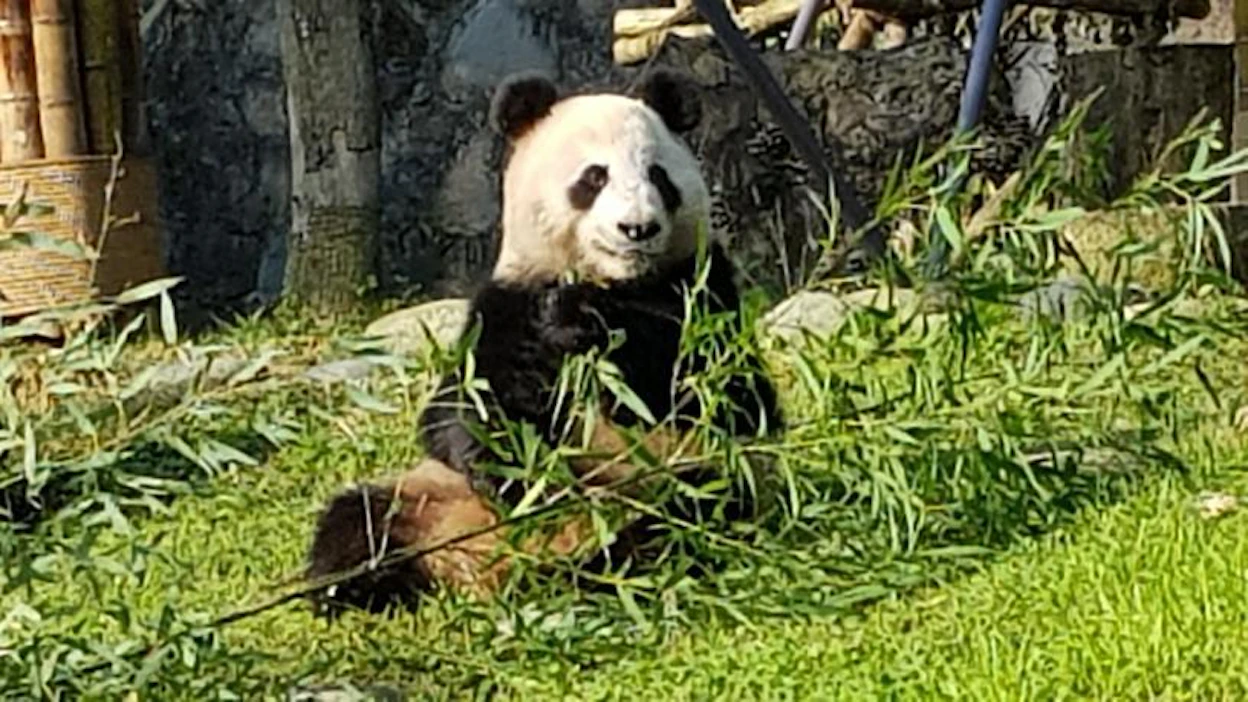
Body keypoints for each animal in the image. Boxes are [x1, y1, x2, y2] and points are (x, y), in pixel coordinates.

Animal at [305, 68, 783, 614]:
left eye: (658, 176)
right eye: (594, 178)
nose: (637, 228)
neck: (613, 280)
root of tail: (487, 567)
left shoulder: (703, 288)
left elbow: (730, 396)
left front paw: (591, 322)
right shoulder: (509, 301)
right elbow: (463, 408)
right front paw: (522, 469)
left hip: (677, 475)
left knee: (696, 506)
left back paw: (602, 568)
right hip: (429, 494)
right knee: (358, 519)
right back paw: (364, 586)